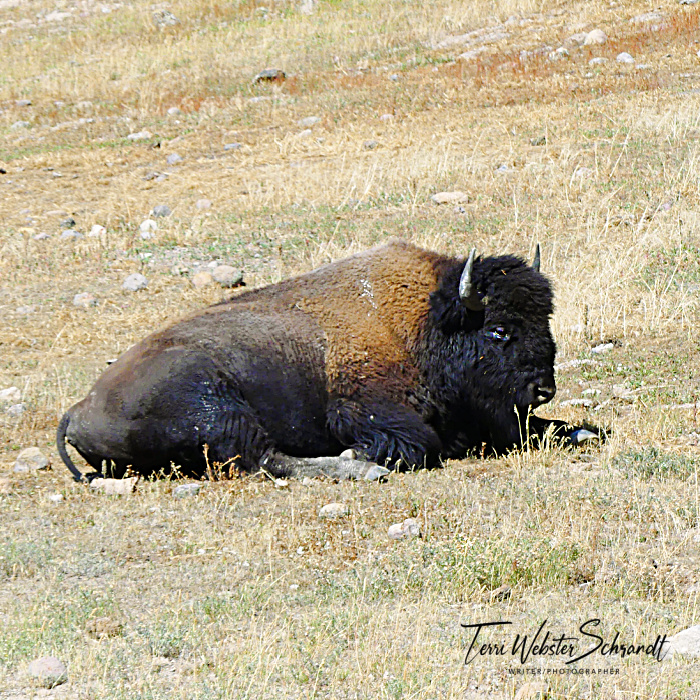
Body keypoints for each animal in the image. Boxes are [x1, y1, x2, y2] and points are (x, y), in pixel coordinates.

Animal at [57, 241, 597, 482]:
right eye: (499, 330)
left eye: (546, 320)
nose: (543, 389)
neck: (426, 322)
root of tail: (79, 408)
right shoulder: (367, 412)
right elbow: (419, 444)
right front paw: (364, 456)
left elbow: (562, 428)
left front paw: (581, 430)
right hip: (216, 409)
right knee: (266, 460)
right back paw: (360, 469)